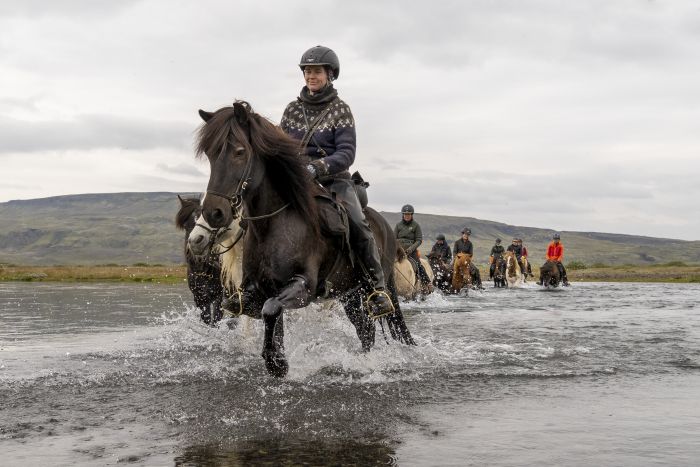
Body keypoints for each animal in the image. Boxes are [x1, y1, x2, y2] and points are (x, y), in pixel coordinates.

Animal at [194, 101, 412, 376]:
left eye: (240, 152)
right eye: (210, 154)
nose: (213, 213)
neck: (276, 224)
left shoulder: (304, 286)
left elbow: (271, 309)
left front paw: (276, 362)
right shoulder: (261, 288)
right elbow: (267, 315)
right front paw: (276, 359)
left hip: (366, 290)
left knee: (370, 322)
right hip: (349, 294)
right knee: (364, 329)